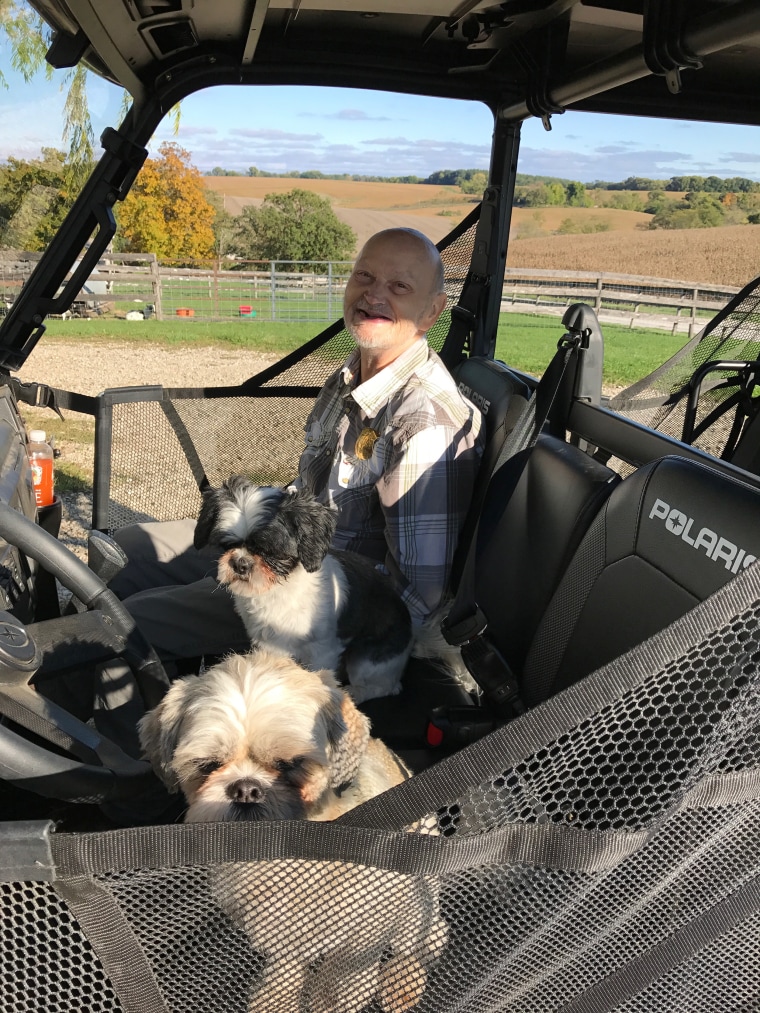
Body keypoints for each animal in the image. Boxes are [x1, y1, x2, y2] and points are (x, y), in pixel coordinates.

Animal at [191, 476, 417, 705]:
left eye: (269, 551)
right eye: (227, 545)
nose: (240, 563)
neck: (277, 591)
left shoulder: (322, 651)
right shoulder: (270, 645)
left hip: (366, 660)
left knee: (384, 686)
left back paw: (355, 692)